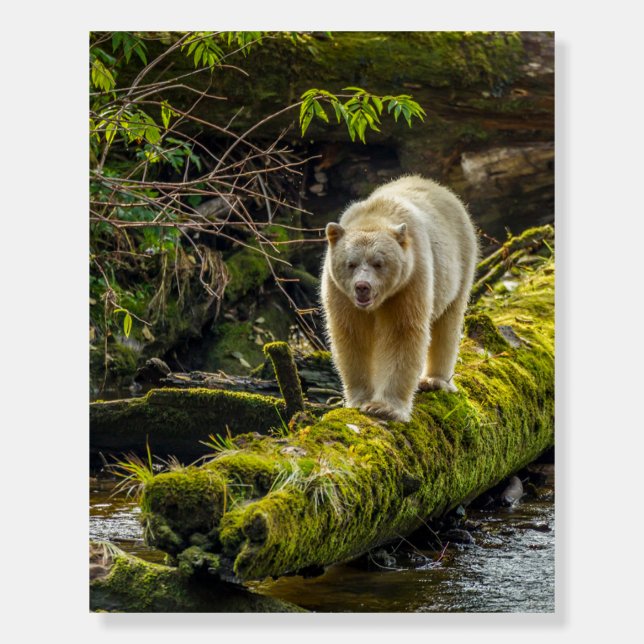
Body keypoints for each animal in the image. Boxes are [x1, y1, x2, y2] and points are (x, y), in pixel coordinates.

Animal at [320, 175, 478, 423]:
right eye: (351, 263)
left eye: (378, 263)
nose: (362, 287)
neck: (374, 217)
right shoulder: (340, 293)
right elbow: (352, 336)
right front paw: (360, 400)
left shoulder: (409, 282)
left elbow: (401, 333)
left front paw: (384, 407)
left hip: (458, 266)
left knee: (448, 324)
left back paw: (434, 380)